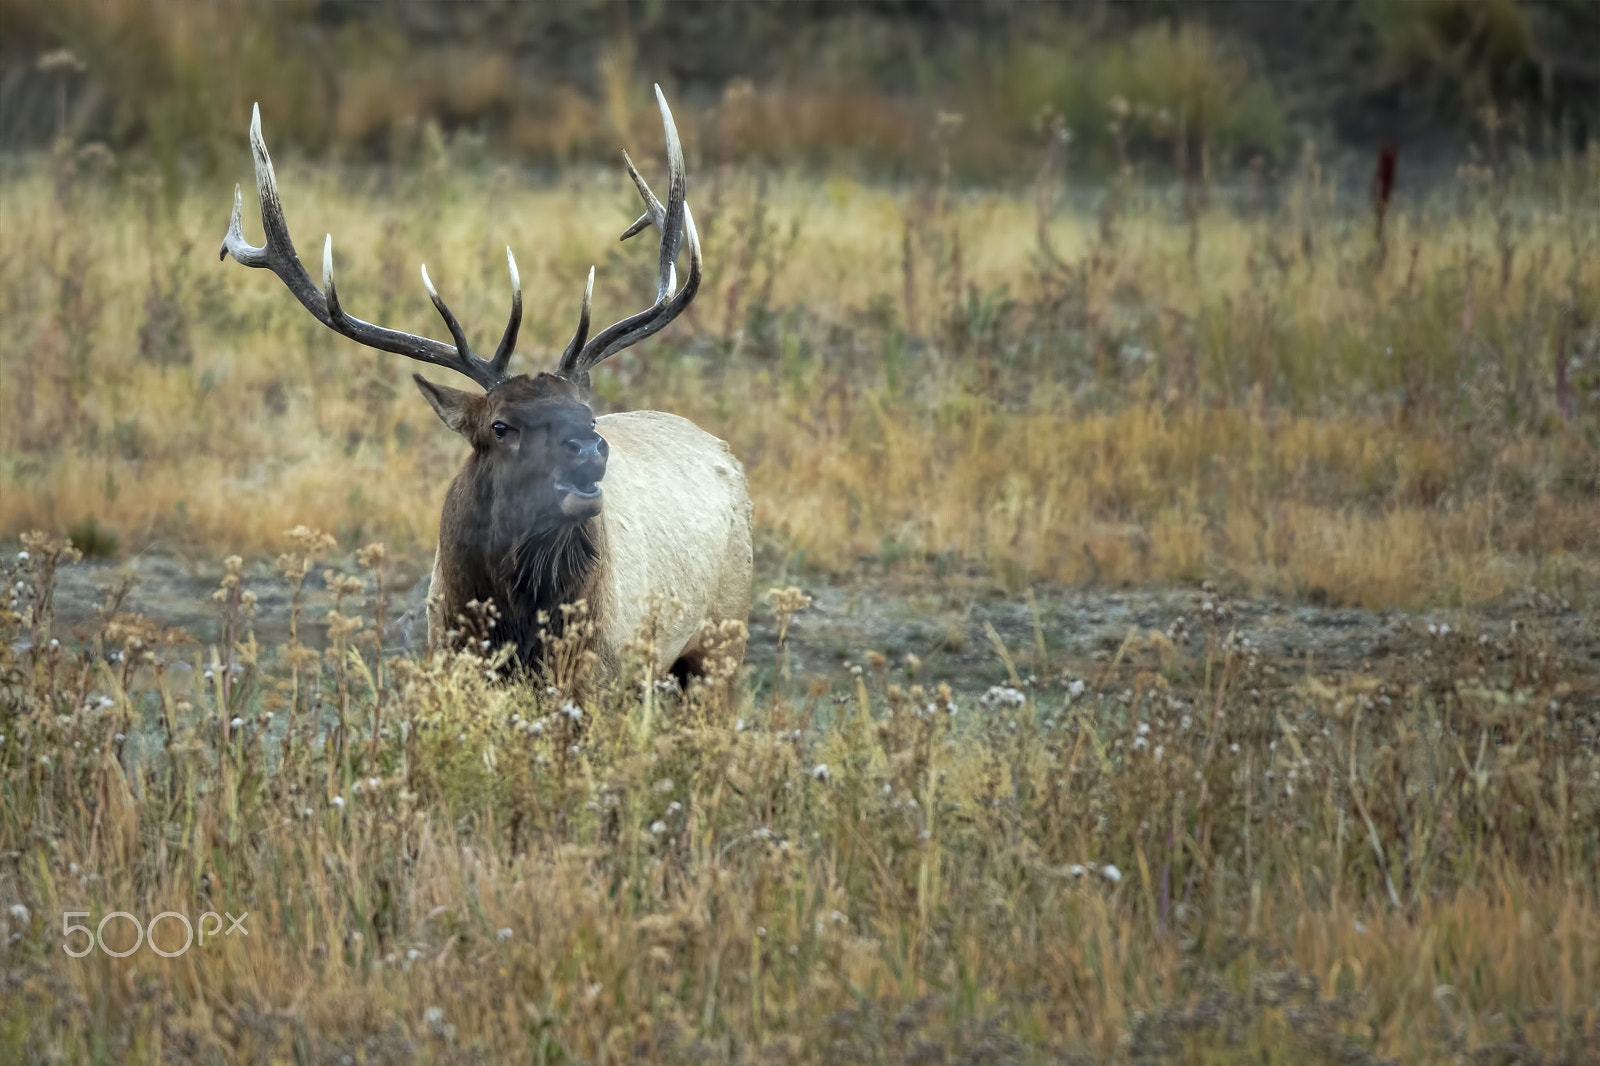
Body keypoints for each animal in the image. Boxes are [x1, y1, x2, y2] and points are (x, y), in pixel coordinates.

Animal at [214, 87, 755, 685]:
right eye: (500, 426)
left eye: (588, 414)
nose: (590, 449)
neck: (516, 626)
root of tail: (722, 447)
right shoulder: (448, 652)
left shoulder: (600, 673)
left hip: (721, 639)